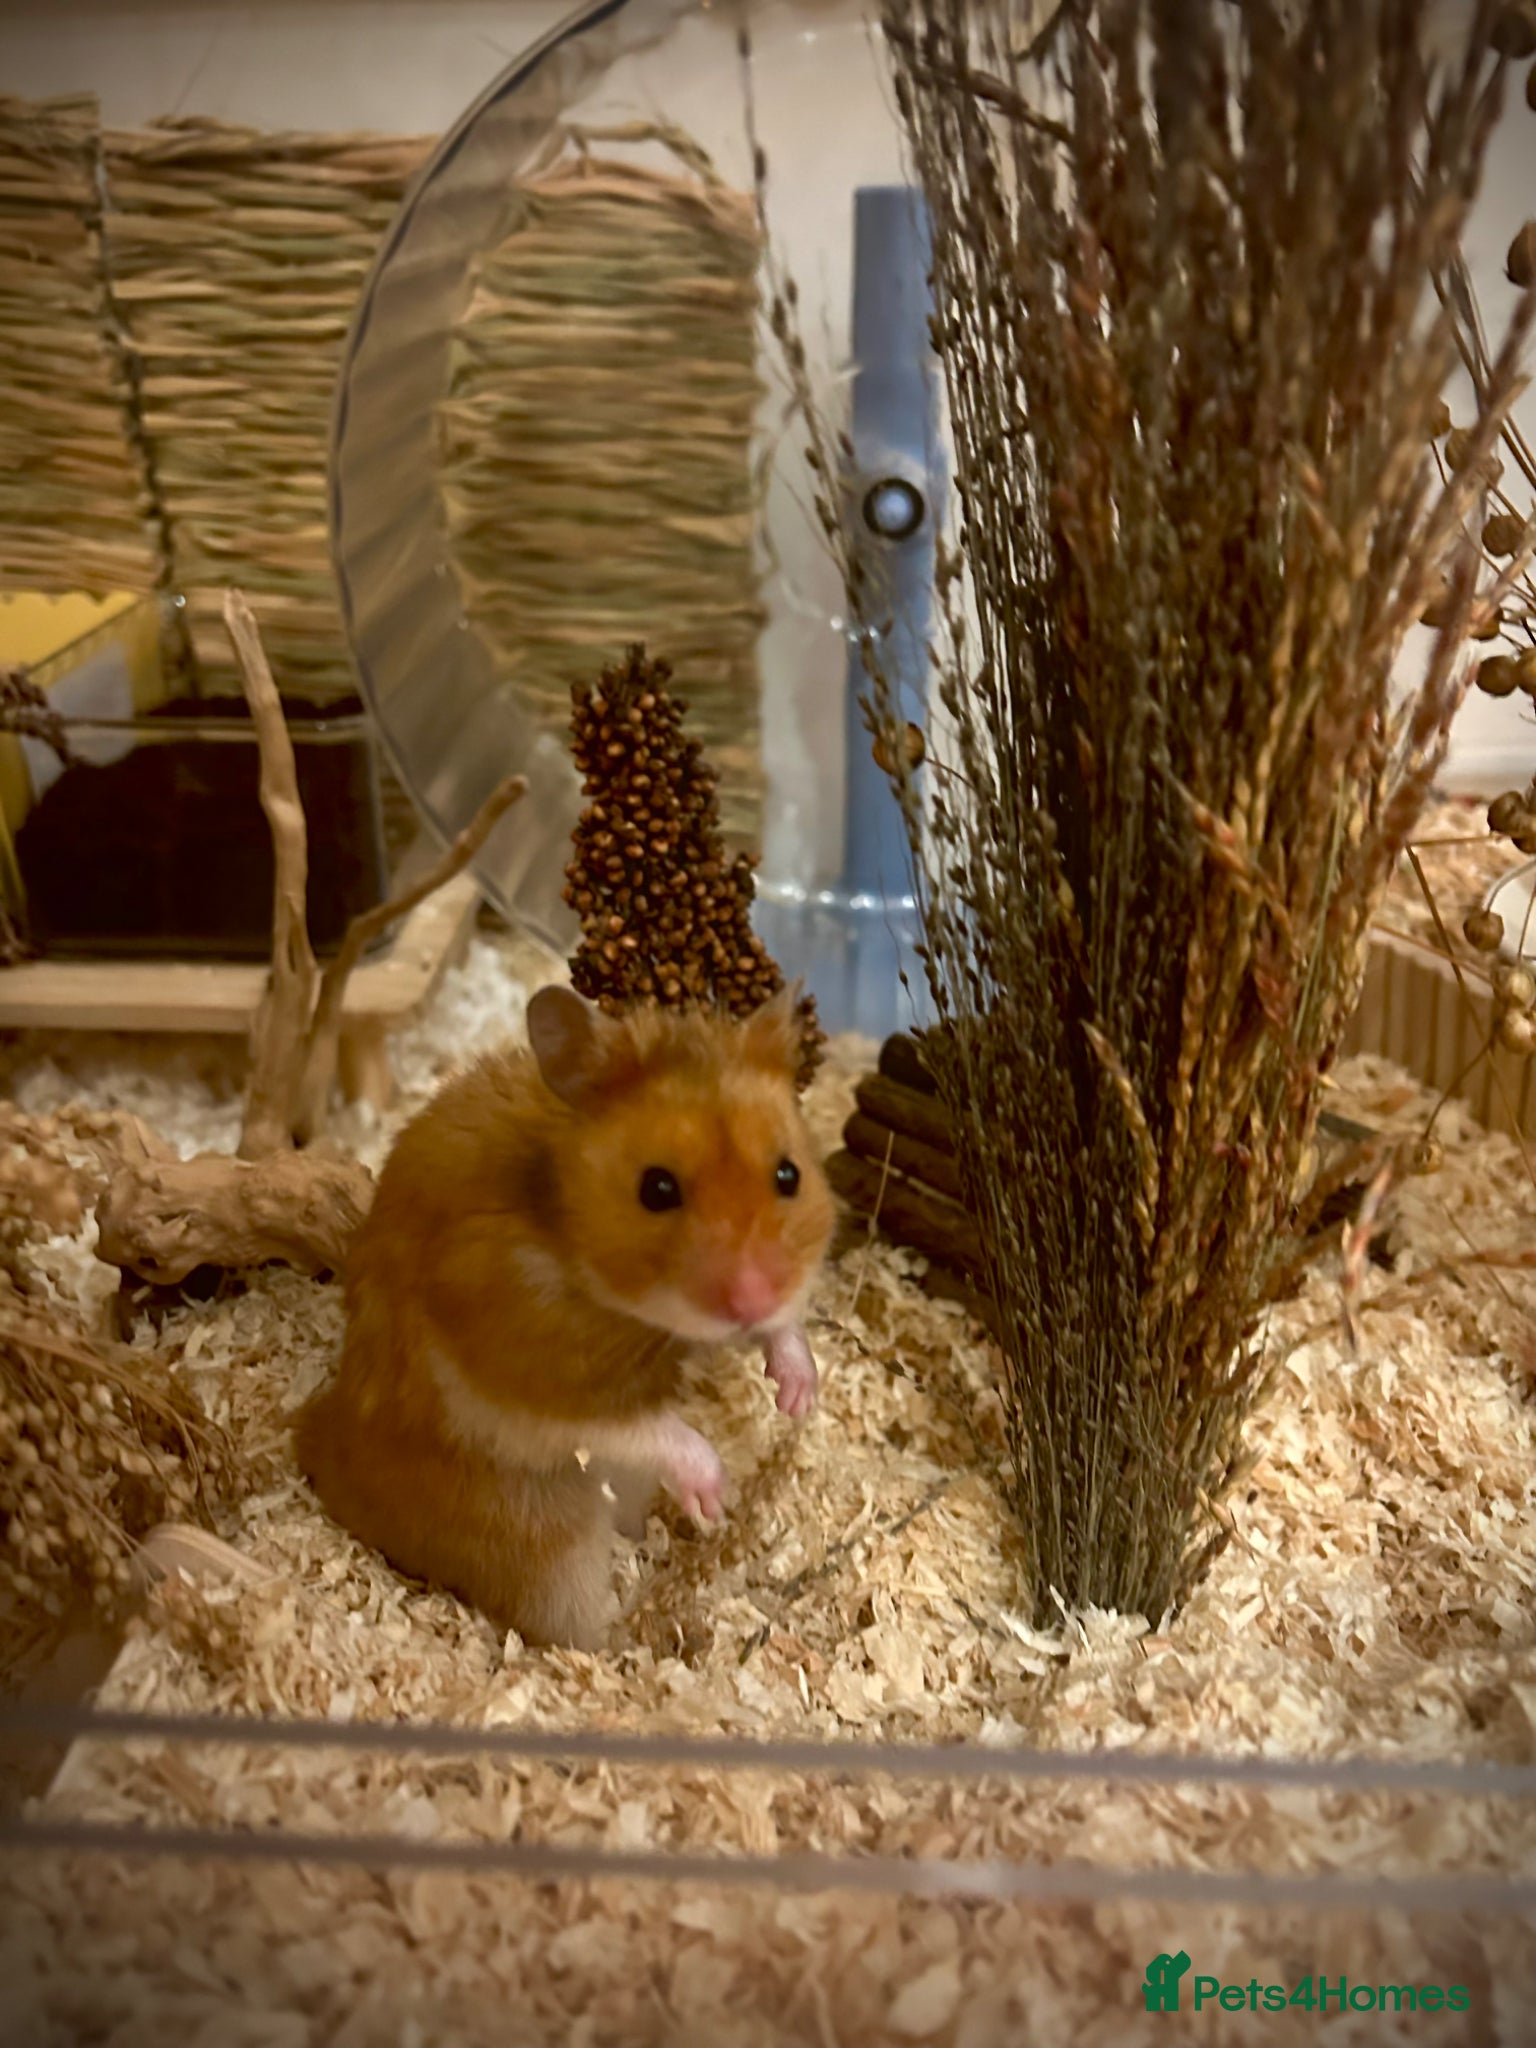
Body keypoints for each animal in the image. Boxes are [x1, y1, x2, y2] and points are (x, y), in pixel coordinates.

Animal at [294, 981, 835, 1650]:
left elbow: (785, 1333)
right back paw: (628, 1638)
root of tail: (321, 1445)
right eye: (656, 1188)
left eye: (788, 1174)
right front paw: (714, 1499)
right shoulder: (532, 1368)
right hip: (542, 1539)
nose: (753, 1298)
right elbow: (643, 1426)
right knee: (569, 1617)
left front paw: (798, 1399)